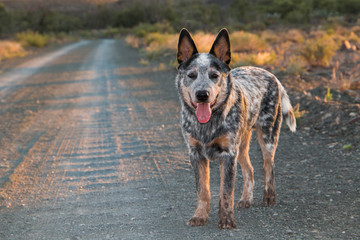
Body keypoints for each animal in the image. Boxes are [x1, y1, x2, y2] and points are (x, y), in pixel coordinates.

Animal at [174, 28, 296, 229]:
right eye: (191, 75)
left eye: (214, 75)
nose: (202, 94)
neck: (208, 124)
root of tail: (272, 75)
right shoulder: (196, 154)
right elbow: (203, 190)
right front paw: (200, 216)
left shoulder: (228, 154)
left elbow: (225, 192)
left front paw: (226, 219)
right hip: (242, 144)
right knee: (249, 169)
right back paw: (246, 199)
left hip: (268, 136)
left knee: (268, 166)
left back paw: (269, 197)